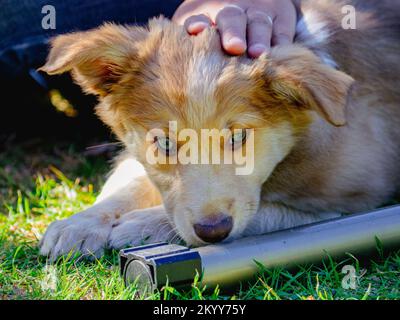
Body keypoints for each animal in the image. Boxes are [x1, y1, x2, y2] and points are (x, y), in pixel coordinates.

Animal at [38, 0, 400, 260]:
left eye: (239, 137)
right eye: (164, 143)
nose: (214, 232)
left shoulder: (356, 194)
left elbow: (272, 213)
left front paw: (145, 223)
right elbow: (131, 181)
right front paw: (81, 222)